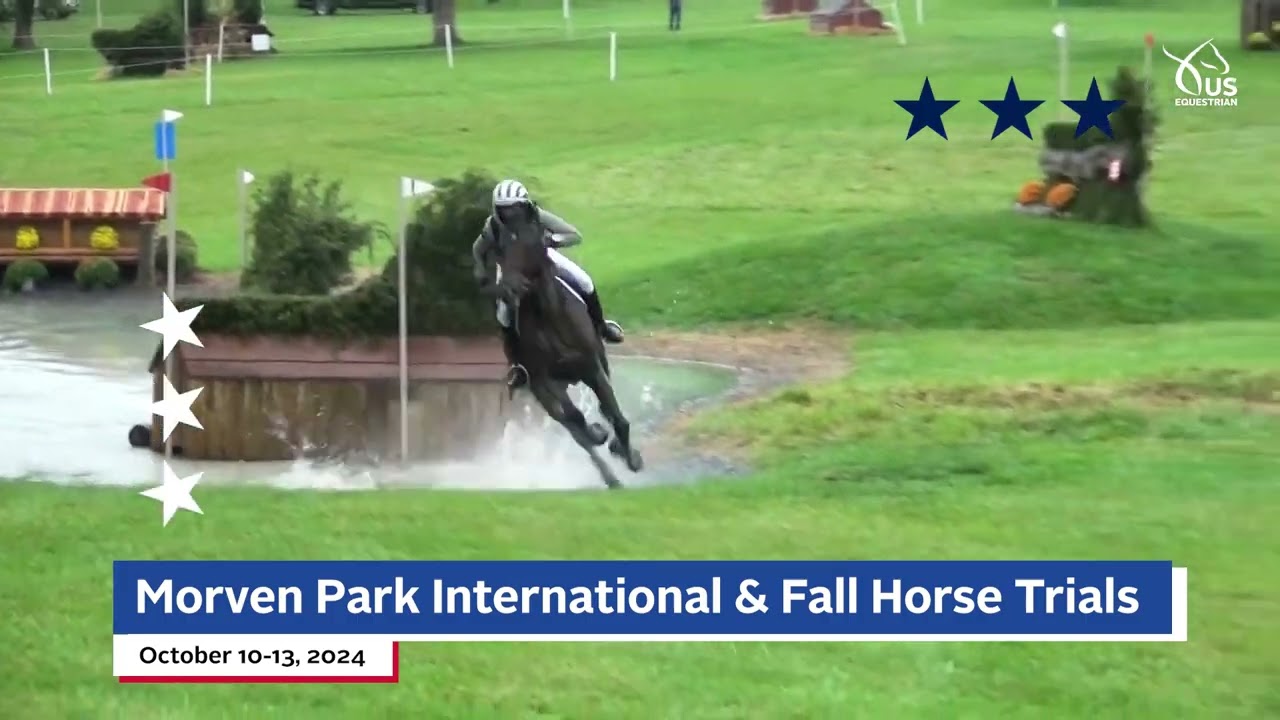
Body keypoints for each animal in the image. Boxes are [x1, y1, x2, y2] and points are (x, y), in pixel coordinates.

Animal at [491, 209, 643, 490]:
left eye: (530, 243)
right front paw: (598, 434)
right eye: (501, 249)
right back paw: (608, 472)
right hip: (543, 392)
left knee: (603, 412)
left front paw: (630, 456)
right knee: (576, 431)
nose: (507, 288)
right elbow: (576, 419)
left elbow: (616, 415)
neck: (548, 315)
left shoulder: (592, 368)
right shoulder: (544, 382)